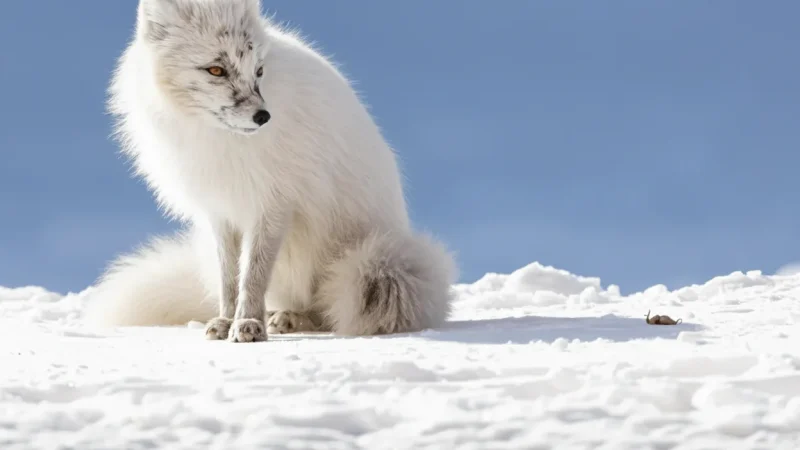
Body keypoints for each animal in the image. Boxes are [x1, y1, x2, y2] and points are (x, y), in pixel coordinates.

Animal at [83, 0, 457, 342]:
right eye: (216, 70)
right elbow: (229, 278)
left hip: (329, 253)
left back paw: (293, 318)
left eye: (259, 71)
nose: (263, 117)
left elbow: (253, 275)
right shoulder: (221, 213)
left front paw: (248, 325)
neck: (220, 141)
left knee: (326, 308)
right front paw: (226, 321)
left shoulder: (274, 203)